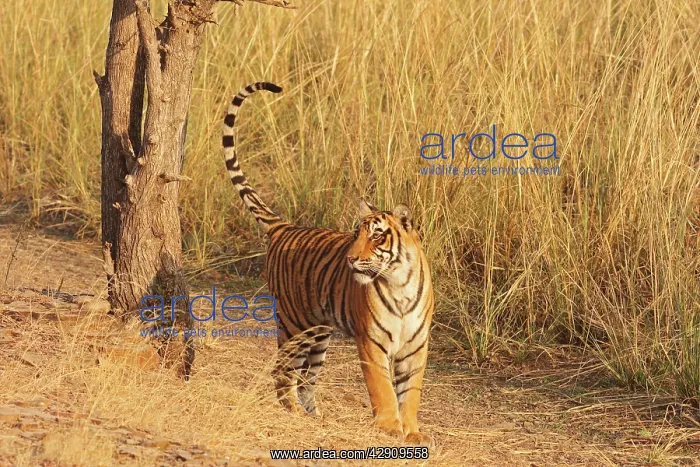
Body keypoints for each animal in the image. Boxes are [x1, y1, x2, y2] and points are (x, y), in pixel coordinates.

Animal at [222, 82, 434, 446]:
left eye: (377, 236)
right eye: (356, 234)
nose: (350, 258)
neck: (399, 282)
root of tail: (285, 227)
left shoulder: (415, 346)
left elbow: (411, 393)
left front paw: (413, 431)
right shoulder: (372, 342)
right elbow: (383, 389)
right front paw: (390, 426)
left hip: (320, 331)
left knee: (308, 376)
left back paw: (313, 415)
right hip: (294, 324)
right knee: (283, 369)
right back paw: (292, 410)